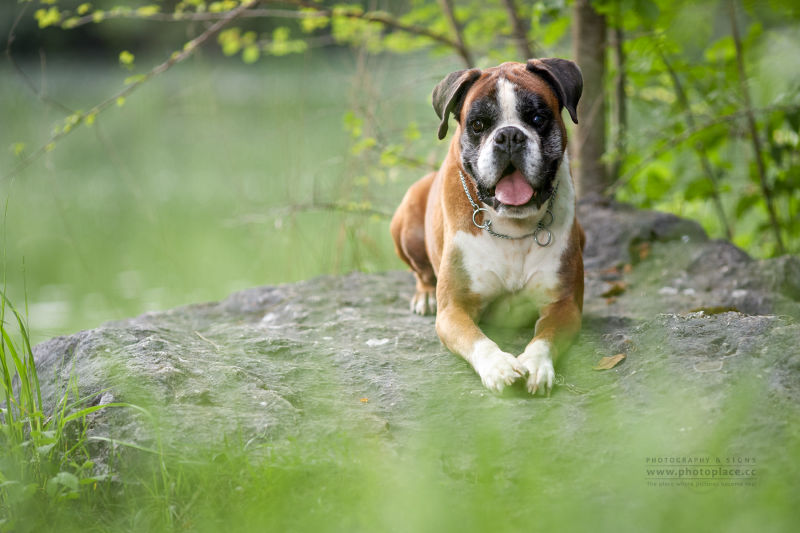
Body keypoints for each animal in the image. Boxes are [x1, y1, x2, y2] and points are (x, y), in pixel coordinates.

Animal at [390, 60, 584, 396]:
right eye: (478, 125)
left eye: (537, 118)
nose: (508, 136)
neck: (513, 227)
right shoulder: (453, 310)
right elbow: (476, 339)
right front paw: (499, 366)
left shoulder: (564, 305)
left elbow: (545, 338)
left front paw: (536, 364)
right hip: (405, 219)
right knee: (421, 271)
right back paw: (424, 295)